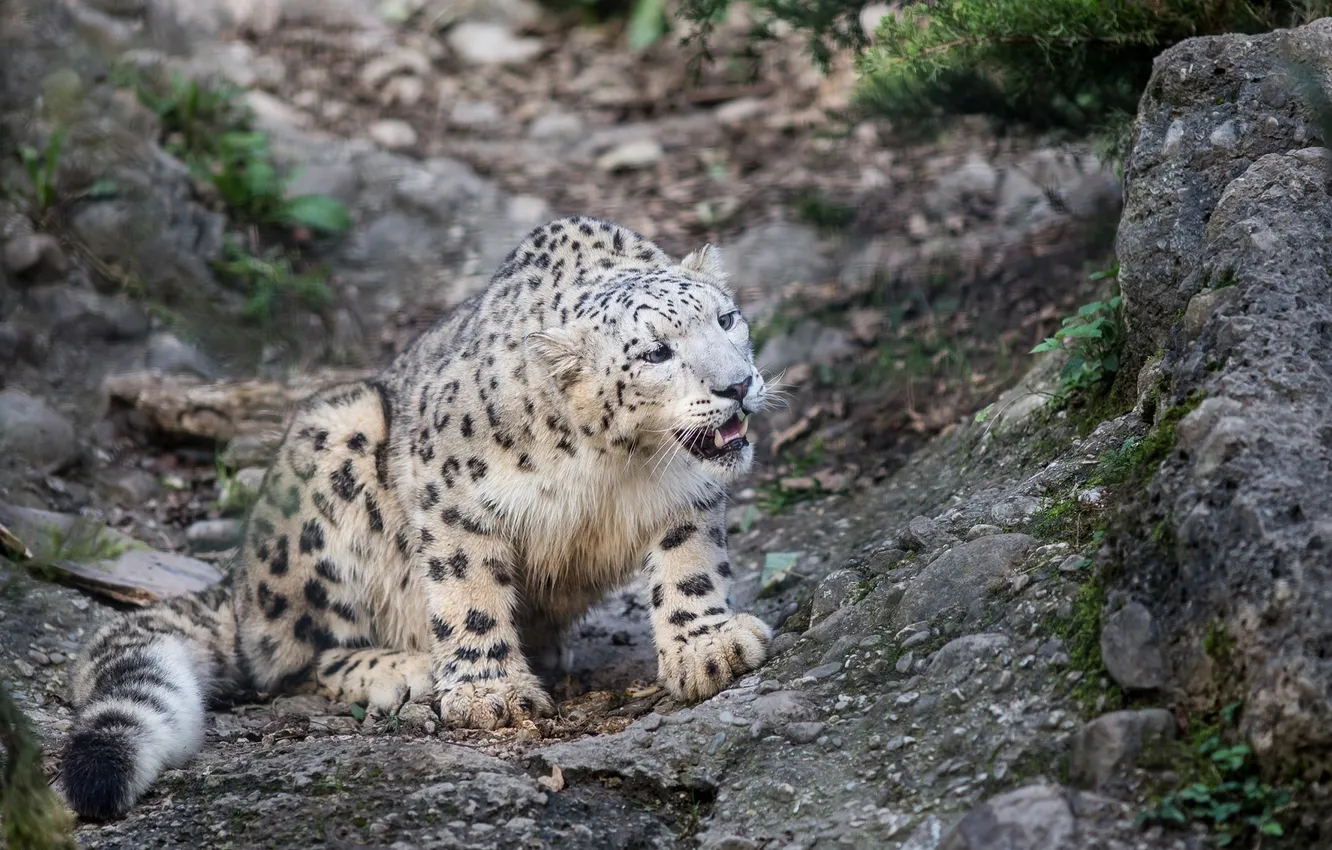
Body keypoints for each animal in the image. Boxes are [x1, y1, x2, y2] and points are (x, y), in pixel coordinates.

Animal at [59, 215, 774, 821]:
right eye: (655, 353)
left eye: (727, 318)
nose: (738, 384)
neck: (620, 465)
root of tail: (240, 587)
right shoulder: (452, 492)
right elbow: (467, 587)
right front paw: (491, 692)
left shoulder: (684, 494)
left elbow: (689, 562)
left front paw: (708, 647)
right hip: (330, 459)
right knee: (299, 658)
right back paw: (406, 670)